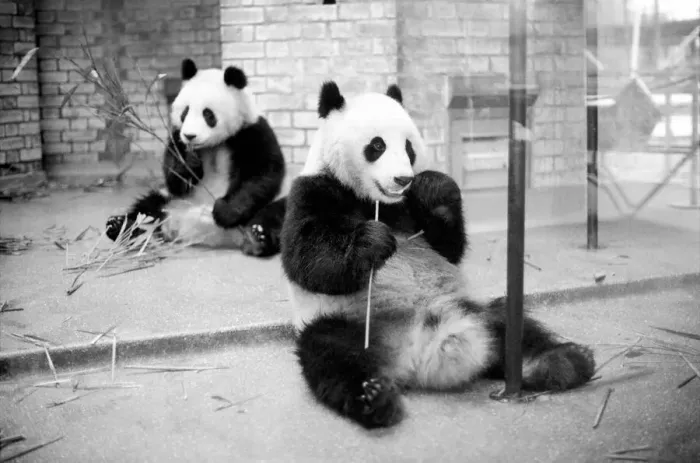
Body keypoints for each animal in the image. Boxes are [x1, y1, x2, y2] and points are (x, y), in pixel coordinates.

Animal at [104, 58, 287, 258]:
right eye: (185, 112)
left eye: (208, 114)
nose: (190, 136)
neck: (214, 145)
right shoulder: (176, 138)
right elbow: (174, 177)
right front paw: (189, 163)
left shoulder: (251, 132)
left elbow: (261, 174)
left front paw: (224, 211)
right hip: (170, 201)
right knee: (147, 209)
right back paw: (119, 226)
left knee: (278, 213)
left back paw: (258, 237)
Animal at [280, 81, 596, 429]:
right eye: (376, 145)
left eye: (408, 147)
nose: (403, 179)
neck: (377, 202)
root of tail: (416, 357)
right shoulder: (314, 190)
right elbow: (310, 258)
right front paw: (372, 241)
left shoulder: (409, 208)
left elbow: (449, 246)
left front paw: (435, 188)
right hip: (347, 322)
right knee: (331, 353)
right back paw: (374, 398)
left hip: (467, 307)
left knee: (513, 324)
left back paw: (563, 361)